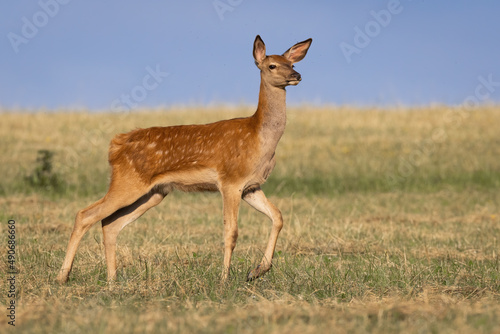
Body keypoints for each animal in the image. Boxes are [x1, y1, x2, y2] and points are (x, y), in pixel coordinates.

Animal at [55, 35, 312, 284]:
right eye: (272, 65)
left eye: (292, 64)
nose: (296, 75)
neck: (259, 138)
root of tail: (116, 145)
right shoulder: (230, 180)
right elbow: (231, 232)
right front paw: (224, 279)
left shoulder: (251, 185)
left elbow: (278, 216)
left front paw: (257, 271)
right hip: (127, 181)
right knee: (85, 215)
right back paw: (63, 276)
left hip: (154, 192)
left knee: (110, 224)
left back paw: (111, 280)